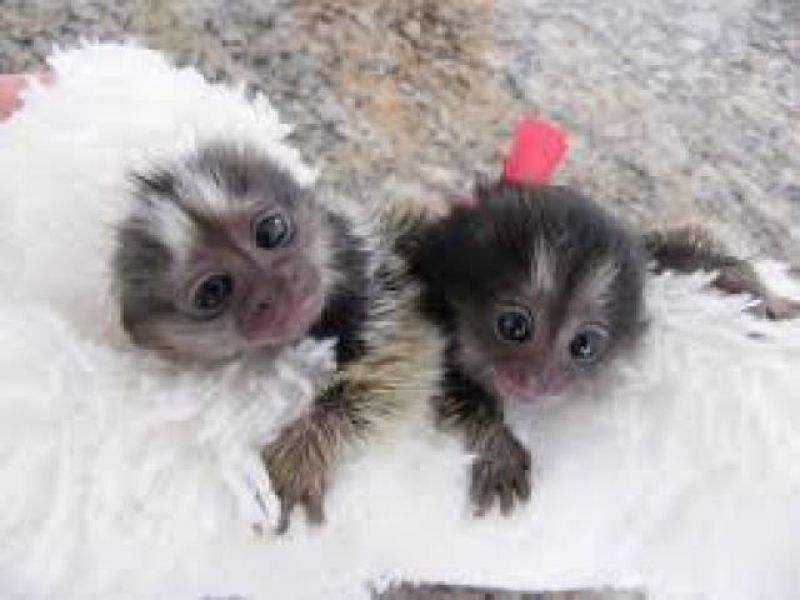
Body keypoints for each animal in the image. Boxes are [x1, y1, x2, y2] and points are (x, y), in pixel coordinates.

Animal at [113, 142, 441, 532]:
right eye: (213, 291)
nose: (277, 285)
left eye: (271, 232)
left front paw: (298, 460)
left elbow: (395, 364)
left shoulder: (380, 287)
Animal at [395, 179, 798, 517]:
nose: (537, 380)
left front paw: (752, 287)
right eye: (513, 327)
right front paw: (496, 443)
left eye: (583, 346)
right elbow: (434, 380)